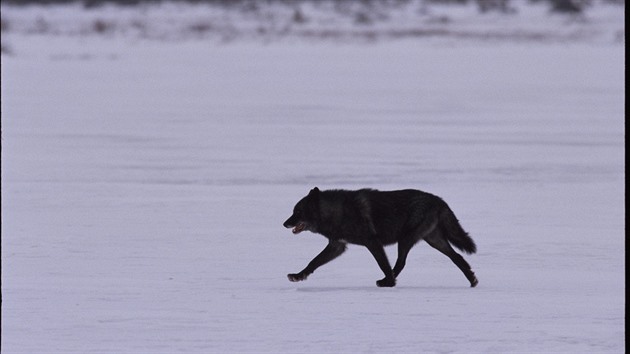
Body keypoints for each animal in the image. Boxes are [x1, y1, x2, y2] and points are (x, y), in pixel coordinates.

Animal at [282, 188, 478, 288]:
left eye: (297, 212)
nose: (284, 223)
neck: (337, 211)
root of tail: (439, 200)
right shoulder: (337, 246)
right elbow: (313, 262)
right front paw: (298, 276)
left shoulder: (372, 242)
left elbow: (383, 263)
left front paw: (389, 282)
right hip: (434, 240)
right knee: (457, 257)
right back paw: (472, 280)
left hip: (406, 240)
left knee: (400, 263)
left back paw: (388, 281)